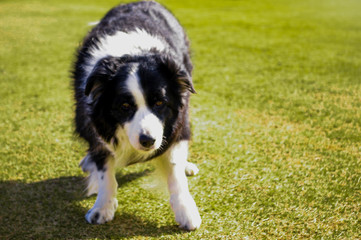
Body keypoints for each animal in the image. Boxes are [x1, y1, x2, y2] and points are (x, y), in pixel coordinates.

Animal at [71, 0, 200, 232]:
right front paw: (102, 208)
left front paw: (186, 212)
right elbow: (105, 172)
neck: (131, 54)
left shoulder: (177, 122)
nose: (148, 141)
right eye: (124, 106)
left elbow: (175, 169)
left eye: (159, 102)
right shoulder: (95, 122)